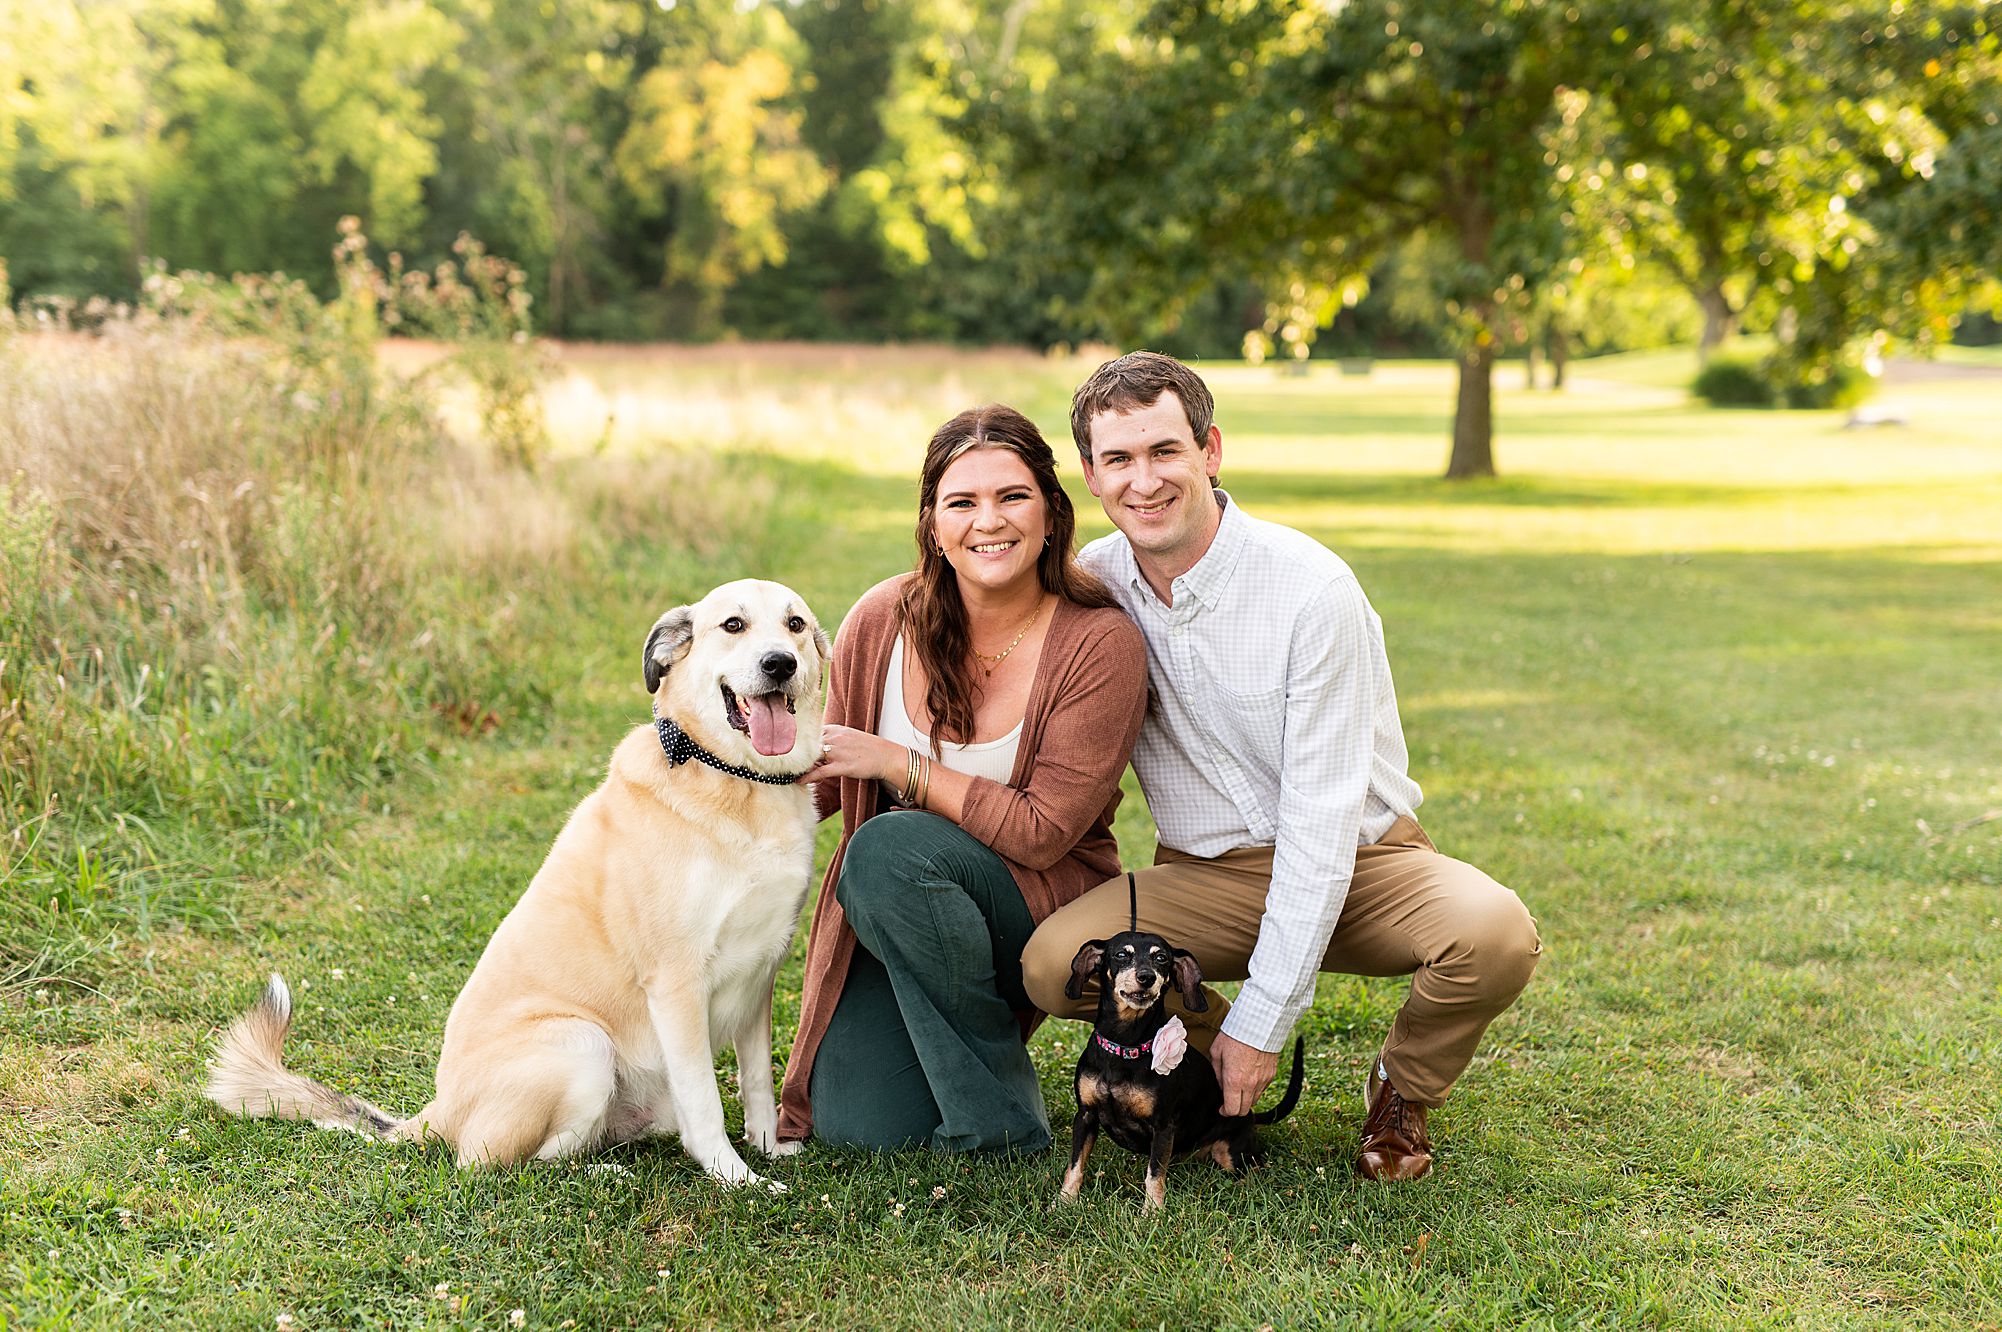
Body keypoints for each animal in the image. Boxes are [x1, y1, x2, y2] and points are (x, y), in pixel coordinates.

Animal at [207, 579, 828, 1188]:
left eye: (795, 624)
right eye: (733, 625)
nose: (780, 663)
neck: (740, 782)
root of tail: (434, 1114)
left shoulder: (759, 976)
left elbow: (757, 1083)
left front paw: (769, 1148)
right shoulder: (676, 982)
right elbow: (705, 1105)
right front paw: (736, 1178)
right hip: (582, 1045)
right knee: (499, 1164)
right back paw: (601, 1172)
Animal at [1058, 909, 1304, 1211]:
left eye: (1161, 958)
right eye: (1121, 955)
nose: (1146, 977)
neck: (1125, 1046)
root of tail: (1250, 1115)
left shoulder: (1163, 1126)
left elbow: (1154, 1173)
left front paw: (1152, 1212)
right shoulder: (1085, 1115)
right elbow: (1075, 1165)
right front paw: (1065, 1202)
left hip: (1233, 1153)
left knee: (1255, 1169)